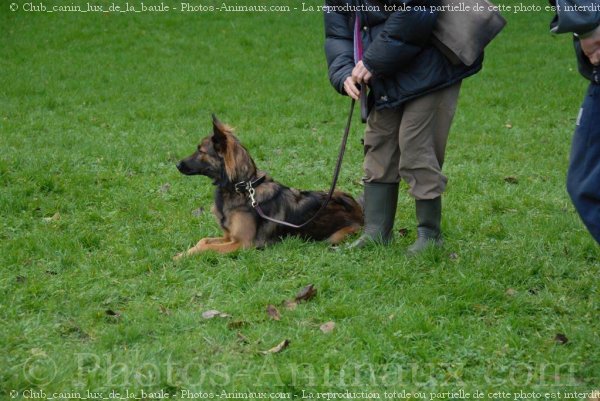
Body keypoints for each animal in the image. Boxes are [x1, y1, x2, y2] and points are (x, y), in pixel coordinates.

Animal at [171, 115, 364, 256]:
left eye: (201, 151)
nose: (177, 164)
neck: (241, 188)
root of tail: (360, 212)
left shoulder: (243, 244)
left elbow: (207, 247)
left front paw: (181, 257)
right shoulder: (229, 237)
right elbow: (203, 241)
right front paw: (185, 252)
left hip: (335, 235)